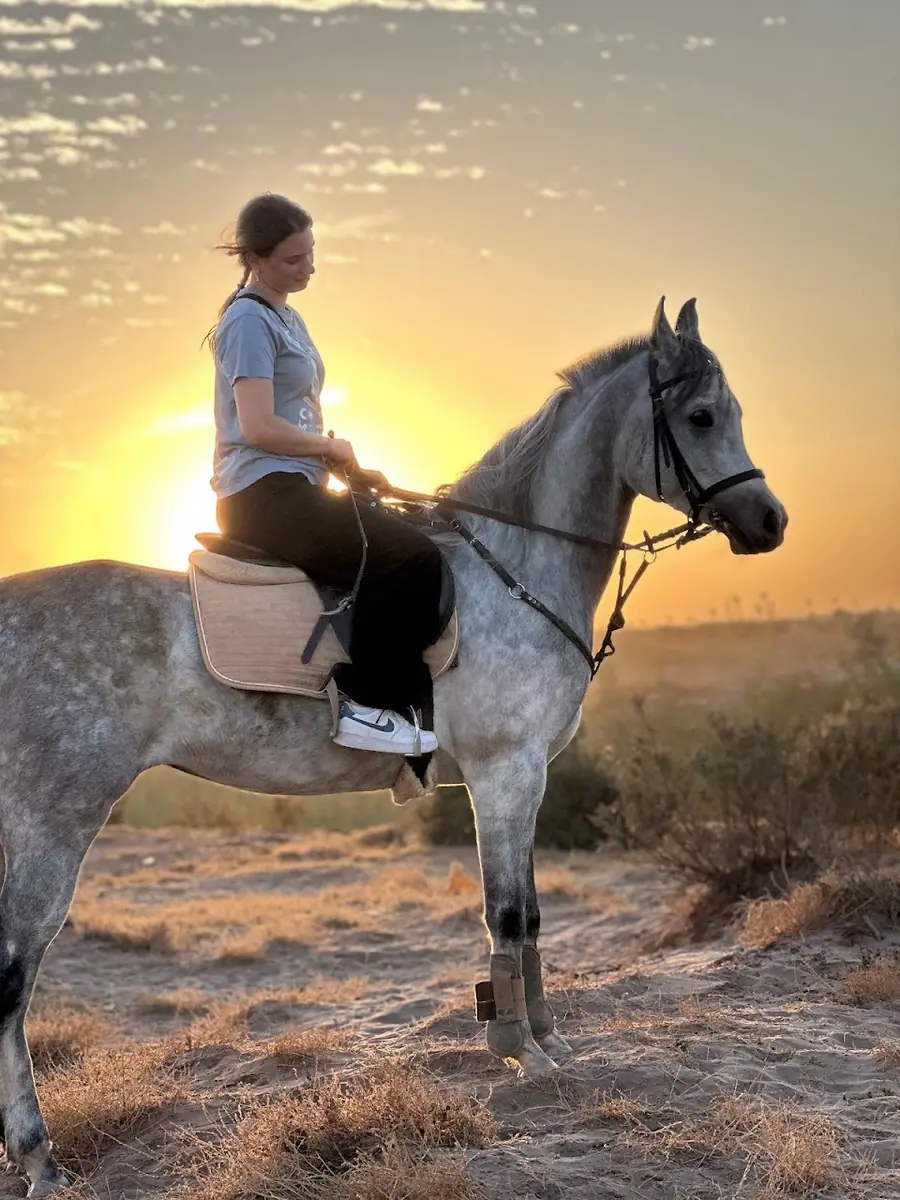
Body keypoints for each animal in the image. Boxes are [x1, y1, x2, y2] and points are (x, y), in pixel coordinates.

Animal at [0, 297, 786, 1196]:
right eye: (701, 417)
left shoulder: (527, 781)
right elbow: (506, 914)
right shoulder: (504, 775)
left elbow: (533, 916)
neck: (515, 570)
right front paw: (519, 1051)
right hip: (56, 822)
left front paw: (548, 1039)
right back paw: (39, 1157)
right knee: (14, 975)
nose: (771, 522)